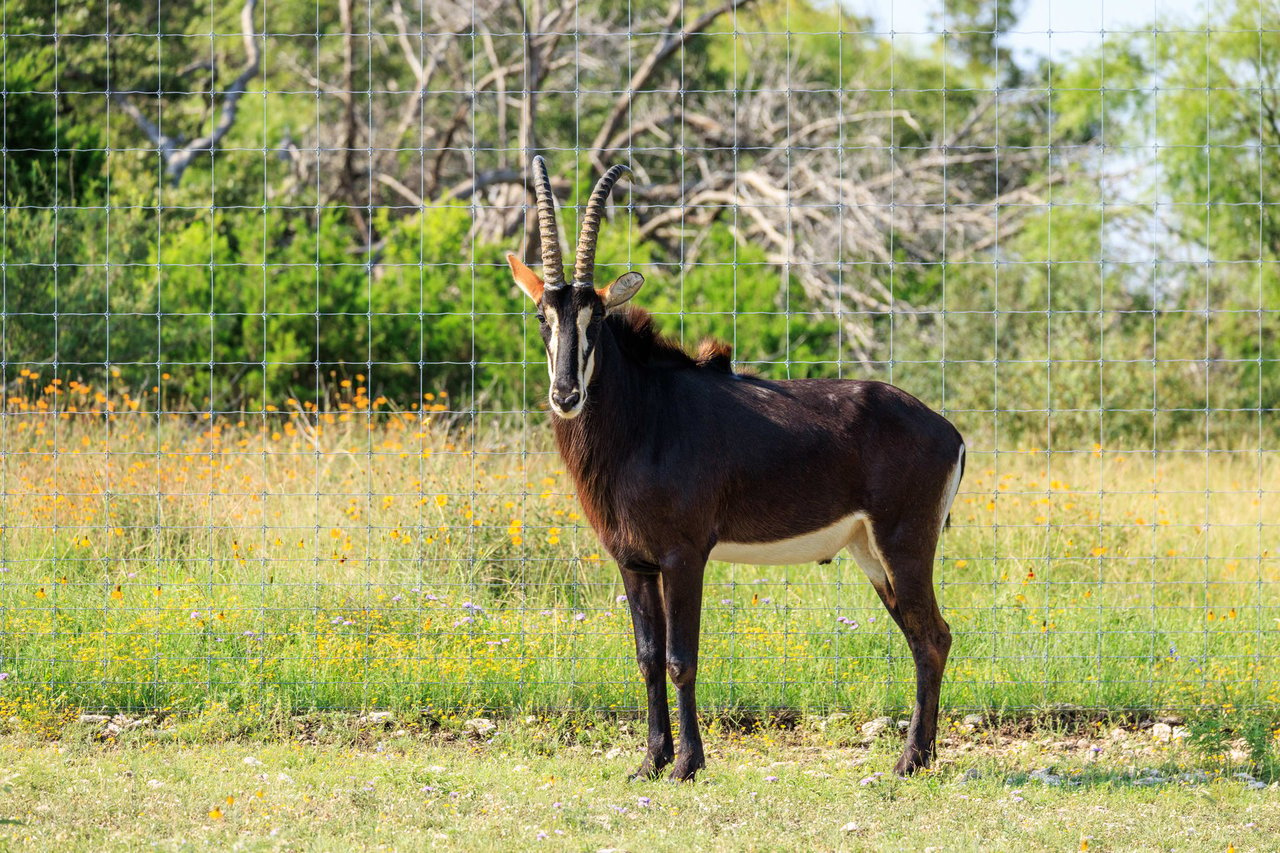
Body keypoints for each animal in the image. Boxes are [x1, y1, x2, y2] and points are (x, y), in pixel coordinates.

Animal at [504, 153, 962, 778]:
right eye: (542, 318)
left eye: (594, 319)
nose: (566, 394)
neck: (644, 417)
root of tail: (947, 431)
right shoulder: (634, 563)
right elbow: (647, 658)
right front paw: (650, 761)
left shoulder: (684, 557)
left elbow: (681, 659)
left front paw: (687, 765)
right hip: (872, 555)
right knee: (923, 638)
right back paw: (923, 755)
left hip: (904, 545)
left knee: (933, 636)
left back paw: (909, 761)